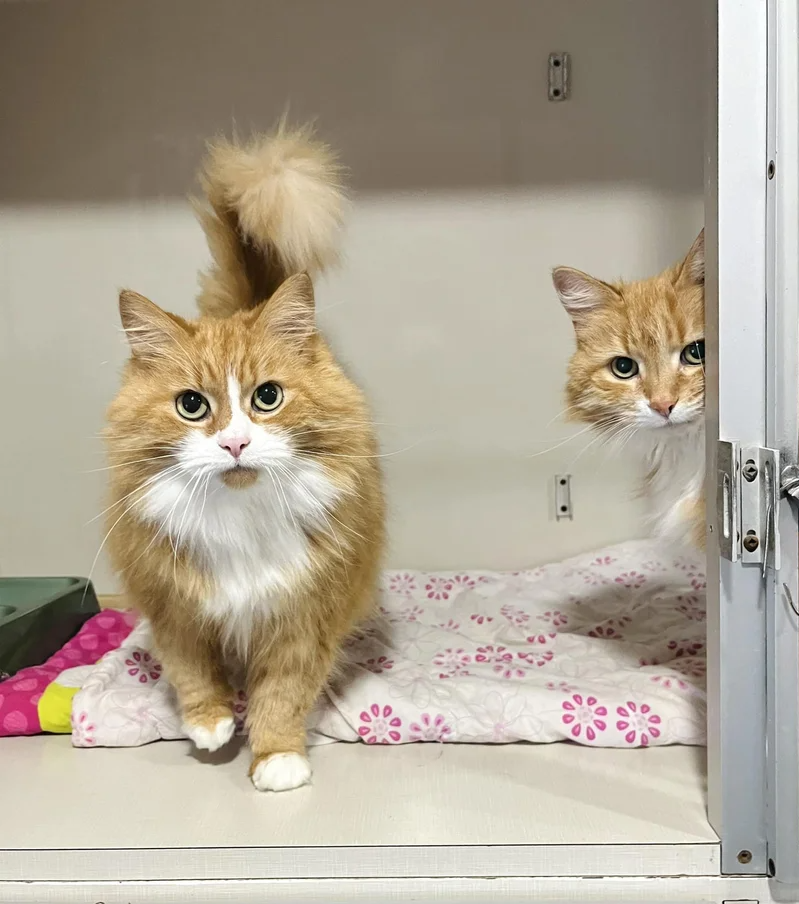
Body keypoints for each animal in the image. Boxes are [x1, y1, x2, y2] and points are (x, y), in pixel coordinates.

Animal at [104, 127, 386, 792]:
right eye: (191, 405)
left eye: (267, 397)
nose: (234, 443)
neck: (240, 521)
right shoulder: (173, 607)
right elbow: (192, 671)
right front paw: (210, 725)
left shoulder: (303, 616)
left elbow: (281, 695)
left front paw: (276, 760)